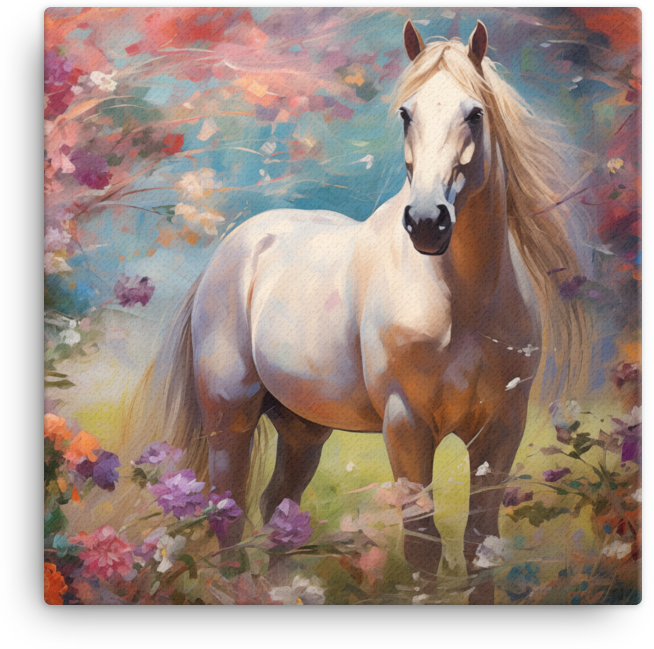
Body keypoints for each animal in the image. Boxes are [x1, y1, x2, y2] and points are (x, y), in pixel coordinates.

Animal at [124, 19, 590, 604]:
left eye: (475, 113)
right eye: (406, 113)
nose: (427, 221)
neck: (461, 300)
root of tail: (233, 250)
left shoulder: (502, 427)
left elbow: (481, 543)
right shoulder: (406, 424)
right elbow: (422, 543)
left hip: (302, 429)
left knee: (277, 507)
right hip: (230, 413)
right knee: (228, 512)